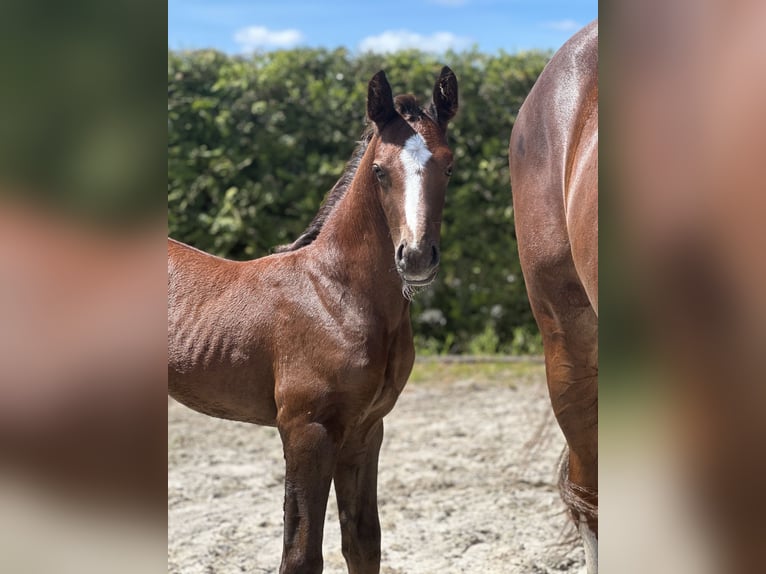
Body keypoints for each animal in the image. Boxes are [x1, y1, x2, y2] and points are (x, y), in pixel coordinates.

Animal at [170, 68, 456, 574]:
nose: (417, 257)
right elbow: (301, 554)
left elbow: (363, 542)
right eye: (379, 170)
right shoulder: (307, 430)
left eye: (448, 166)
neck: (334, 295)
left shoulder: (366, 429)